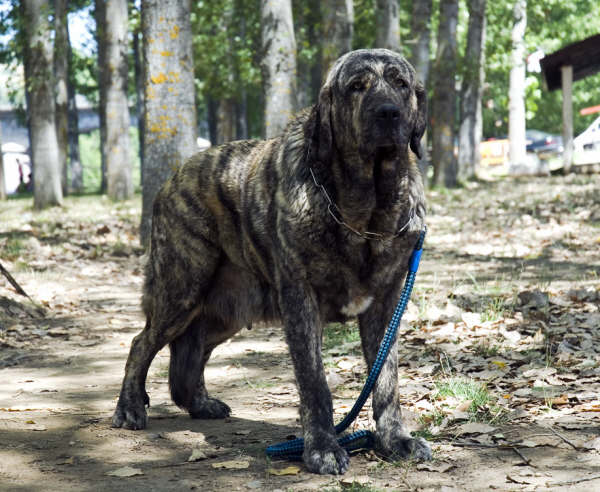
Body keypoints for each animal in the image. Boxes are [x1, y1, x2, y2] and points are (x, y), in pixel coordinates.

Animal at [112, 49, 432, 472]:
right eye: (356, 86)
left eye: (400, 84)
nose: (388, 113)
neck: (363, 210)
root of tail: (172, 178)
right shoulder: (300, 300)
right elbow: (315, 383)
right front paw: (322, 448)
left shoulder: (386, 305)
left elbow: (385, 381)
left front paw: (395, 440)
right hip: (181, 288)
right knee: (142, 342)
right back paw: (130, 407)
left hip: (226, 310)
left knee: (191, 347)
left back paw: (198, 403)